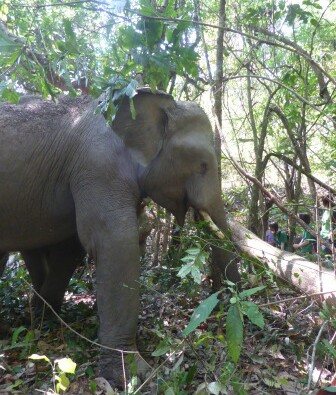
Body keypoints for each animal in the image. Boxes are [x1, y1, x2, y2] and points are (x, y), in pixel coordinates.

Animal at [0, 88, 239, 388]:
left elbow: (71, 247)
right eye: (203, 165)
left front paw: (46, 319)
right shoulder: (98, 168)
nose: (229, 300)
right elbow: (115, 243)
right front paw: (135, 374)